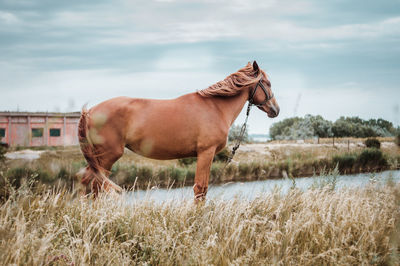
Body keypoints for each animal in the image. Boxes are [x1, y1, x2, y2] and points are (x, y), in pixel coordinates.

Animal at [76, 61, 280, 198]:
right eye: (267, 83)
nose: (276, 110)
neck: (215, 106)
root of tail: (90, 111)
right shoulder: (206, 153)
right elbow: (200, 188)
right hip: (107, 157)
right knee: (96, 185)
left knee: (86, 180)